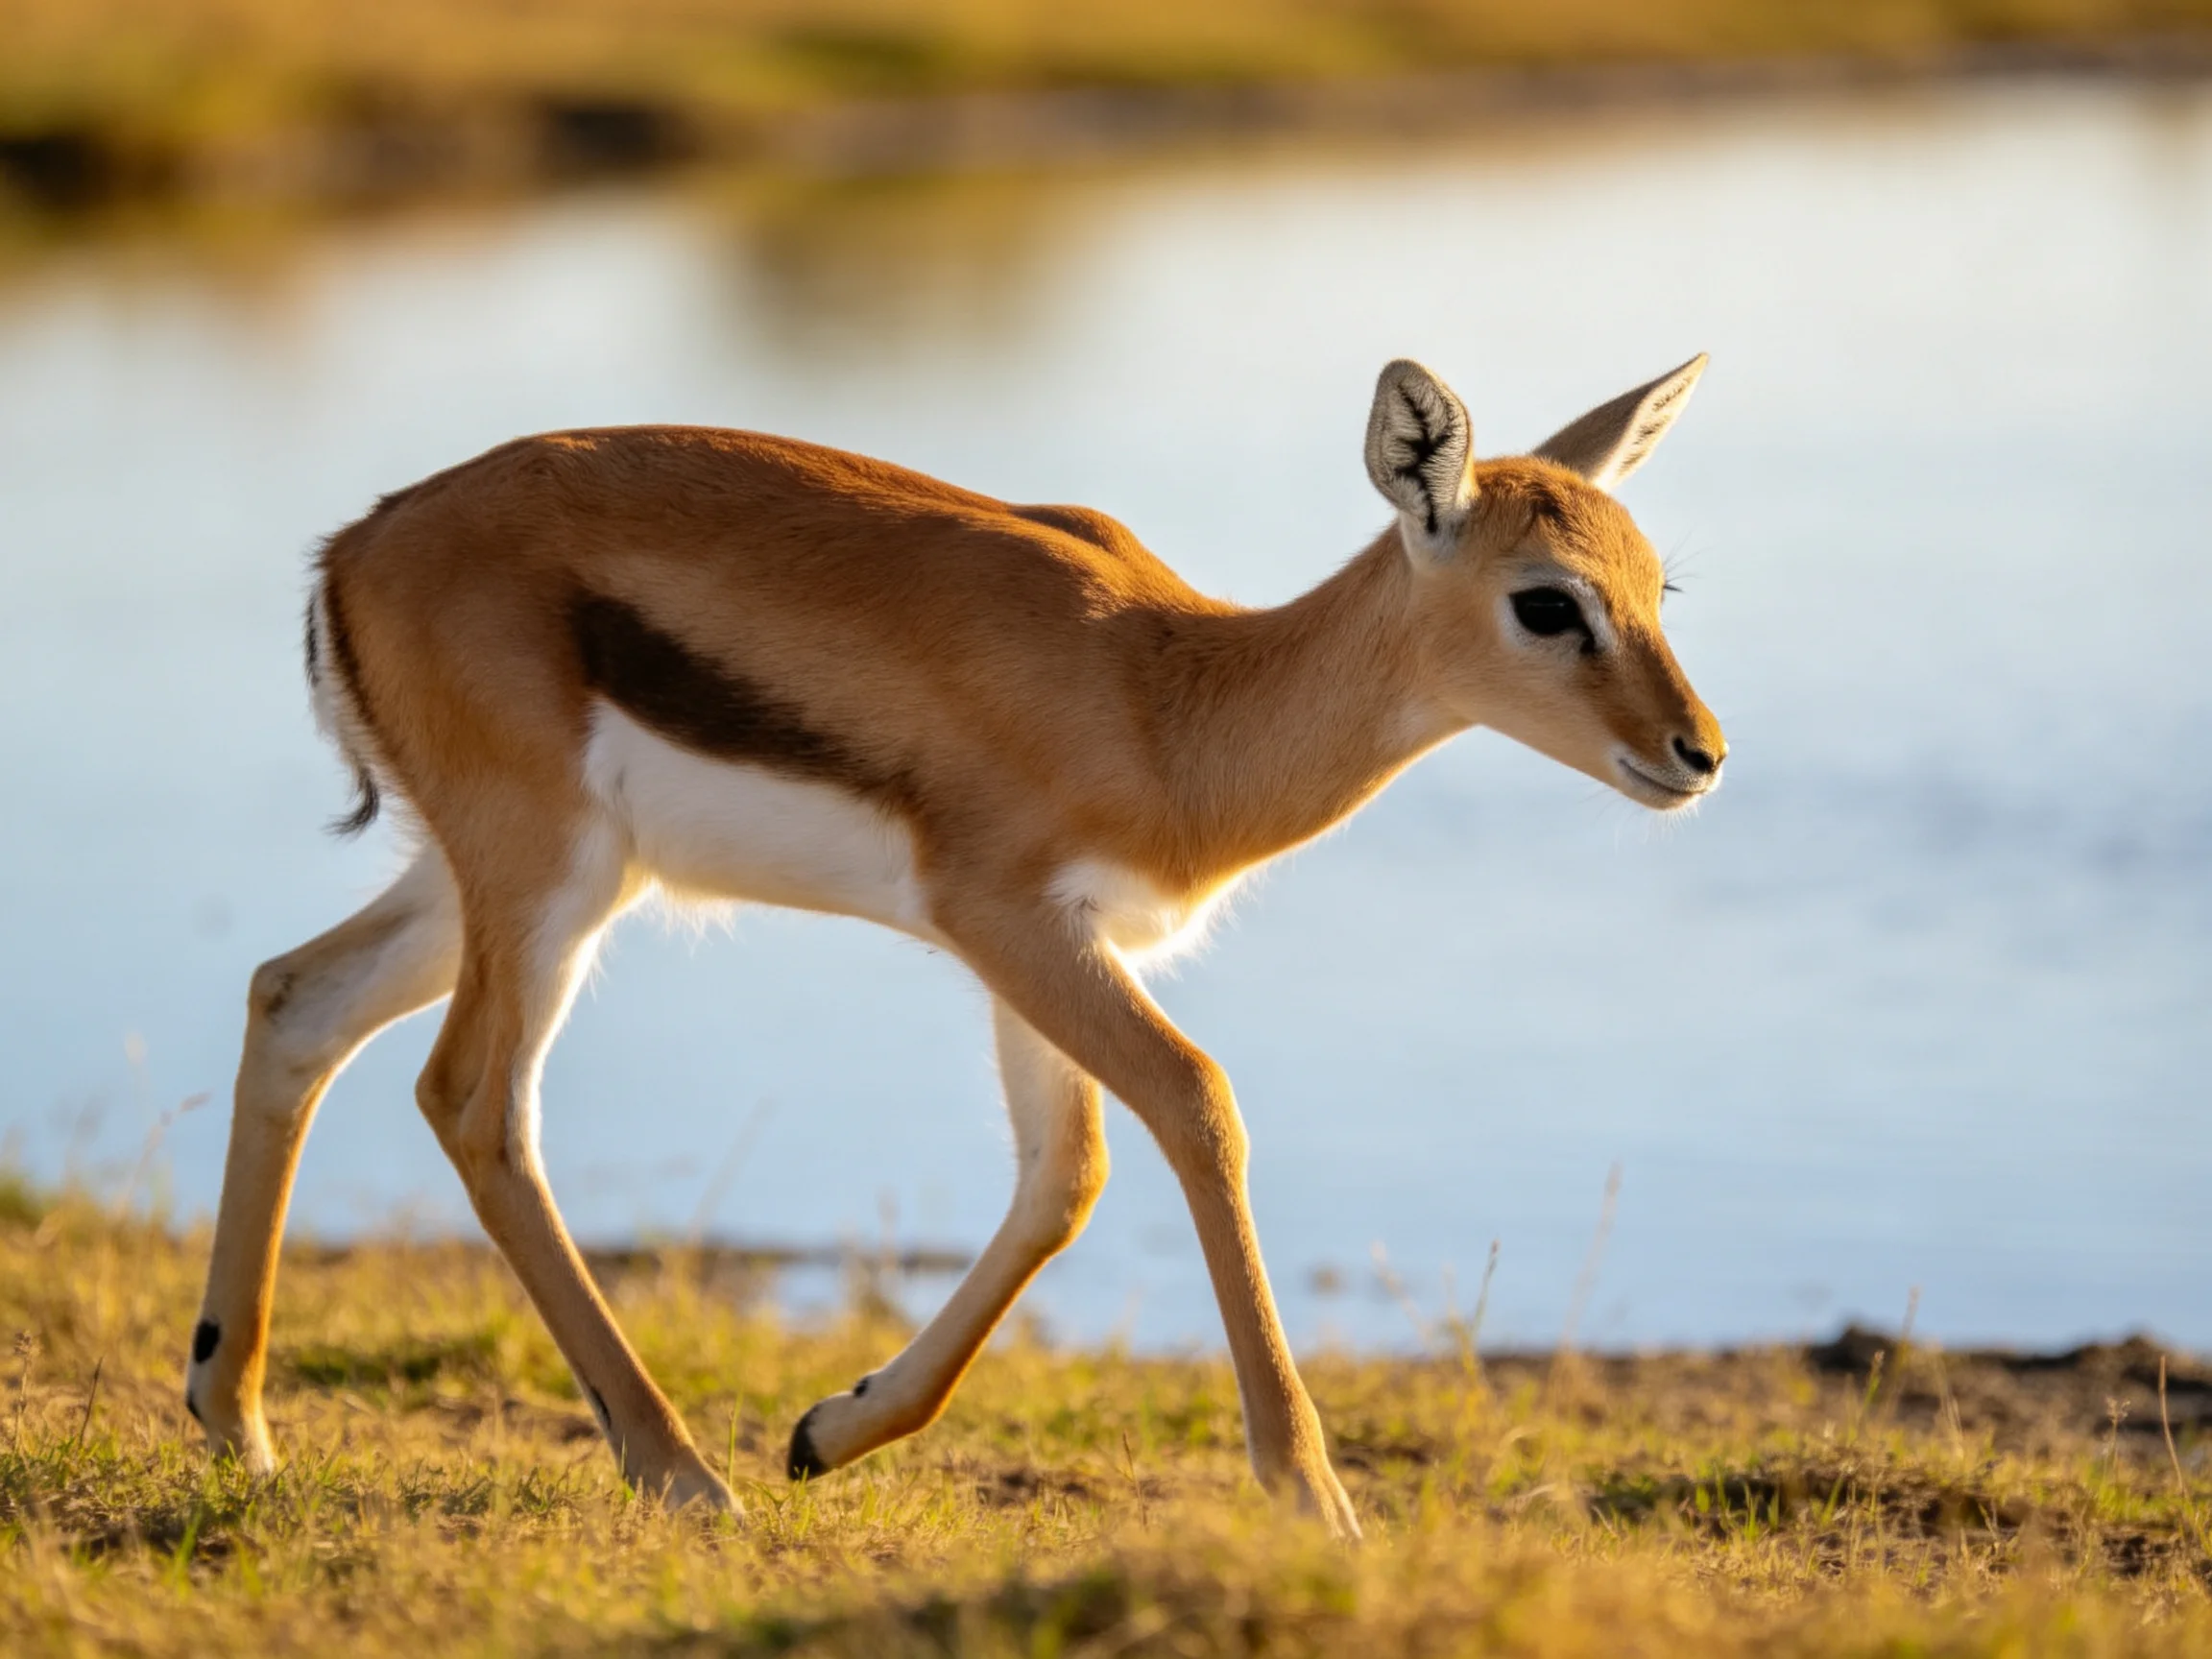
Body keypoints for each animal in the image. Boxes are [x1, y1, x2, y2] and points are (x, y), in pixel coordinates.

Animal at [186, 354, 1724, 1539]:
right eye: (1547, 600)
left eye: (1658, 584)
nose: (1695, 754)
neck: (1166, 705)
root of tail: (357, 549)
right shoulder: (1009, 925)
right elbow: (1196, 1107)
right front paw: (1314, 1500)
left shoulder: (1050, 950)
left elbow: (1064, 1178)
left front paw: (829, 1427)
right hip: (544, 884)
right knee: (474, 1102)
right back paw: (679, 1475)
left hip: (497, 889)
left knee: (293, 999)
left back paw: (235, 1423)